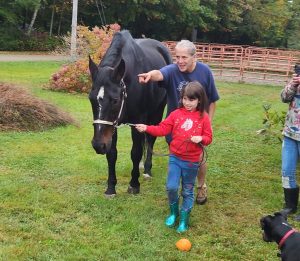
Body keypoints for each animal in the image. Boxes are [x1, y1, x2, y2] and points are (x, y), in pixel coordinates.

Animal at [88, 30, 172, 195]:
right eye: (91, 99)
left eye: (114, 100)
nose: (98, 145)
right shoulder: (111, 126)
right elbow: (112, 154)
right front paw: (111, 188)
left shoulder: (138, 120)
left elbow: (135, 152)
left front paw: (134, 184)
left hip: (157, 111)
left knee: (150, 139)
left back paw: (147, 170)